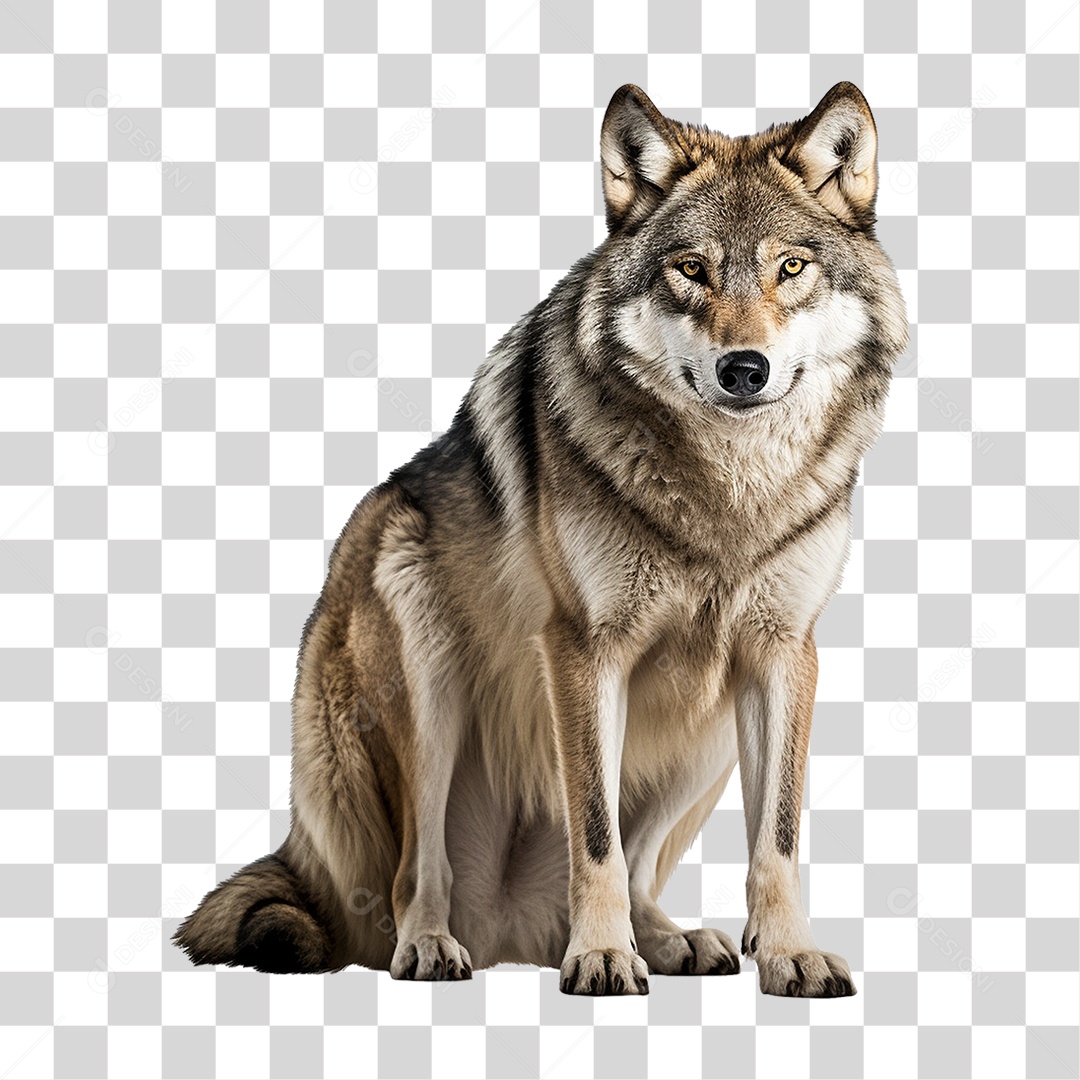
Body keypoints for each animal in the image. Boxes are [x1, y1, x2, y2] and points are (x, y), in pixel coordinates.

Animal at [175, 82, 907, 996]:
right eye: (690, 270)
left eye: (791, 268)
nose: (745, 368)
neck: (727, 494)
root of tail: (509, 929)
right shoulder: (582, 650)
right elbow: (591, 834)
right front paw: (599, 958)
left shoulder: (785, 655)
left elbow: (776, 838)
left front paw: (787, 955)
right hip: (417, 644)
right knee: (415, 874)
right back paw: (438, 946)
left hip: (705, 729)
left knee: (637, 867)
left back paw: (664, 940)